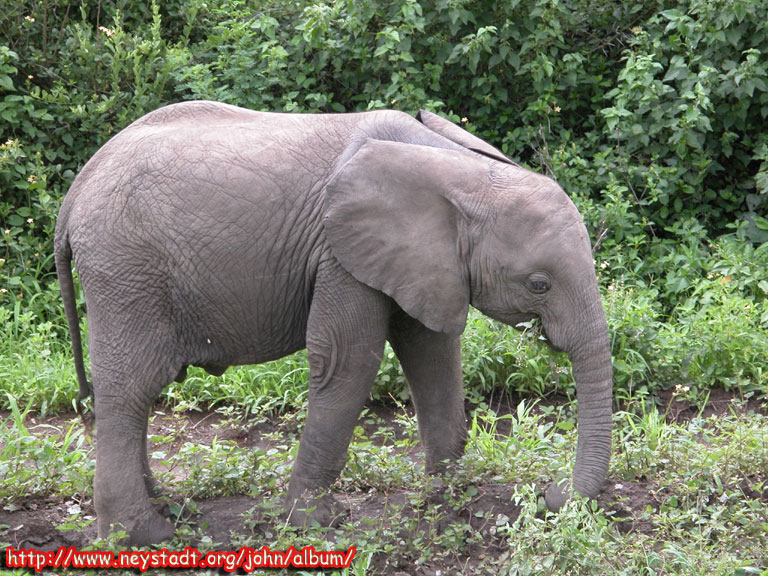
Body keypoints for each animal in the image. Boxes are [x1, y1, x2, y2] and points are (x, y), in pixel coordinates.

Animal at [55, 101, 612, 548]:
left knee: (138, 393)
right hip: (125, 269)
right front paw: (314, 524)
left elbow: (433, 353)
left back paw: (165, 506)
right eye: (539, 284)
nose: (550, 494)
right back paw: (144, 535)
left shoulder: (422, 261)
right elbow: (349, 362)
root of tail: (77, 188)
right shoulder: (340, 253)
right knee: (130, 389)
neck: (460, 172)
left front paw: (446, 497)